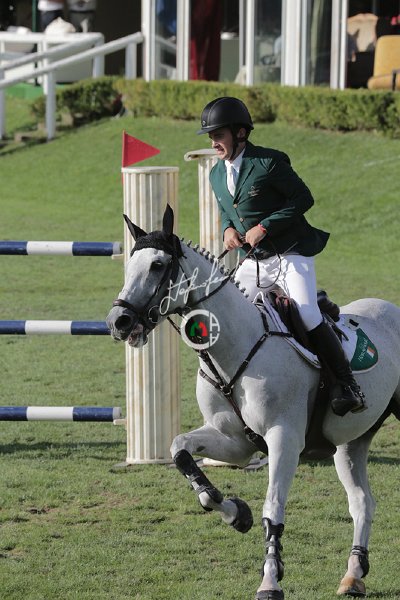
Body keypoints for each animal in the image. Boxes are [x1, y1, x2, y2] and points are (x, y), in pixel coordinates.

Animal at [106, 205, 400, 600]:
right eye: (131, 265)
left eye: (157, 265)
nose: (119, 321)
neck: (233, 349)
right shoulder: (236, 442)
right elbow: (181, 450)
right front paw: (234, 513)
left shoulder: (283, 439)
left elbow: (273, 507)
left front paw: (270, 580)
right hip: (350, 442)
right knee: (361, 501)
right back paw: (353, 574)